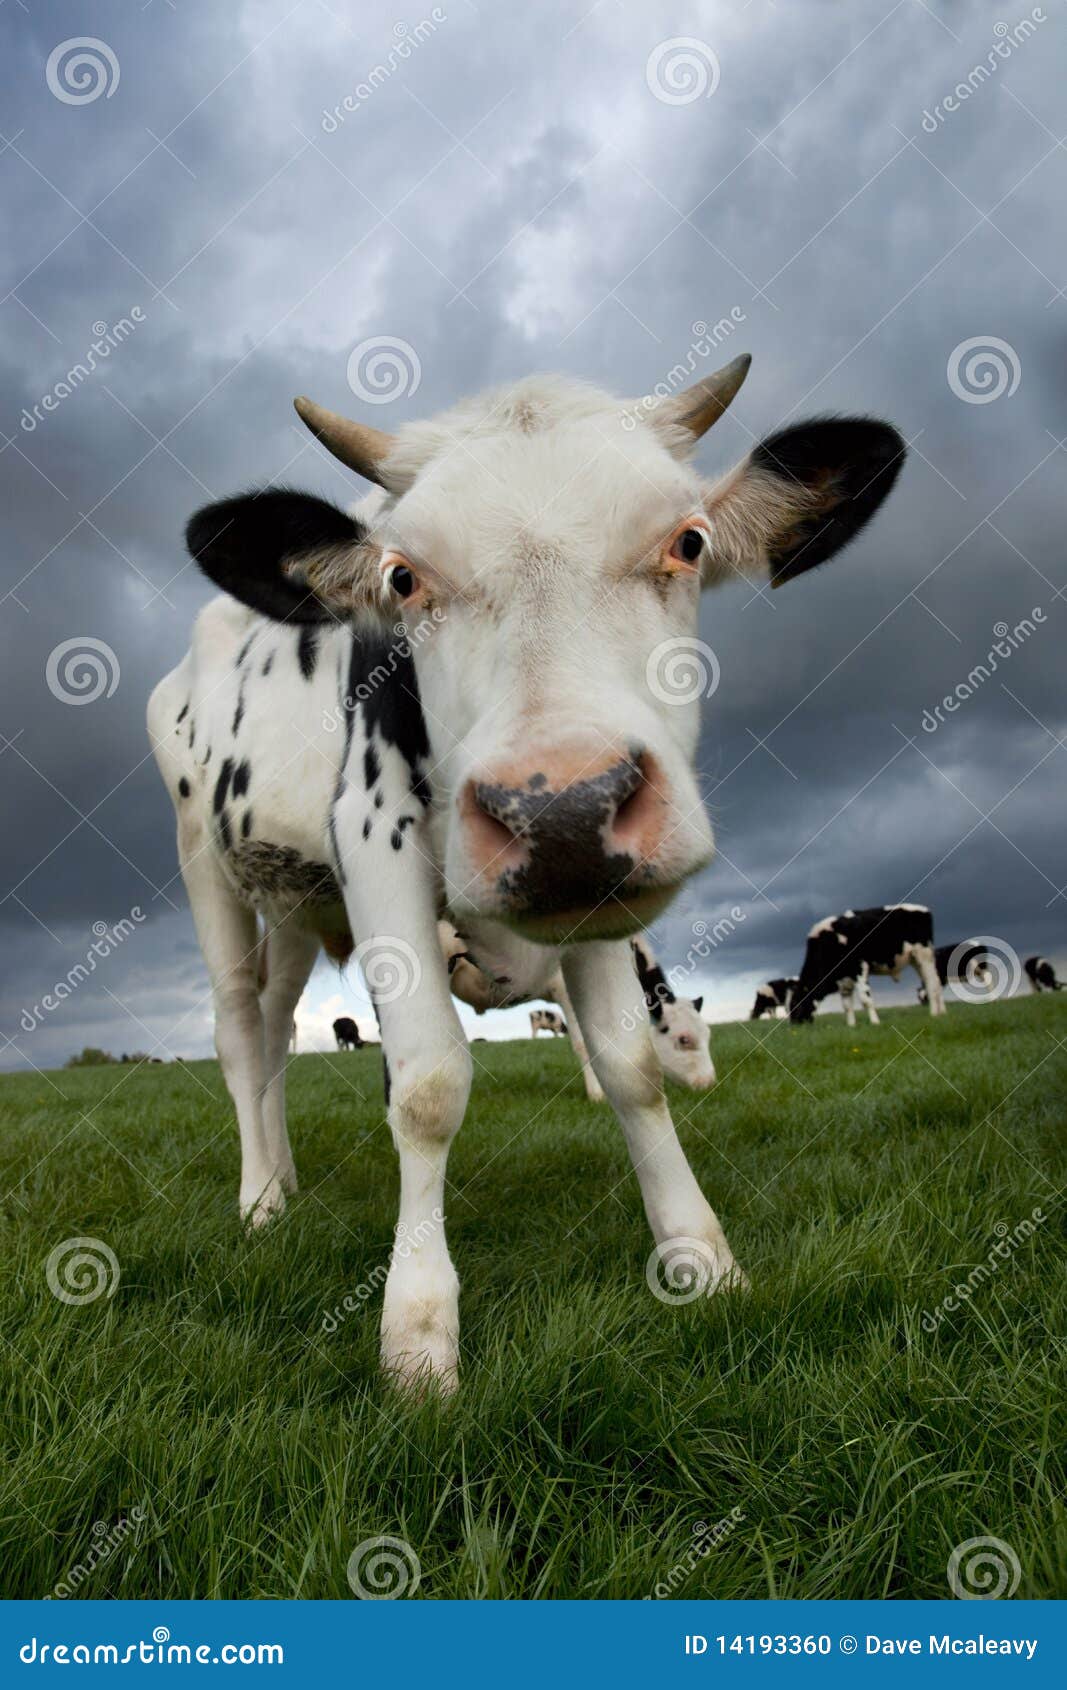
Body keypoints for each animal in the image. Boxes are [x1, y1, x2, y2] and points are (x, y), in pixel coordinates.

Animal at [149, 356, 904, 1391]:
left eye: (689, 541)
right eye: (402, 577)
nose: (562, 810)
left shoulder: (601, 899)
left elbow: (628, 1068)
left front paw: (700, 1260)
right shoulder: (372, 842)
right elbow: (426, 1088)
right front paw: (417, 1335)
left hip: (298, 904)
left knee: (269, 1030)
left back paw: (283, 1180)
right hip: (204, 859)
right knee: (233, 1027)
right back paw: (259, 1201)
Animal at [791, 904, 941, 1024]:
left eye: (795, 1005)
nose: (794, 1024)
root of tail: (924, 909)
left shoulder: (859, 967)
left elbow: (865, 999)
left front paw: (875, 1022)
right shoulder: (843, 979)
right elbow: (846, 1005)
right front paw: (852, 1026)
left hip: (924, 954)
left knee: (932, 983)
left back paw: (934, 1014)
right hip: (915, 960)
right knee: (930, 982)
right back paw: (941, 1012)